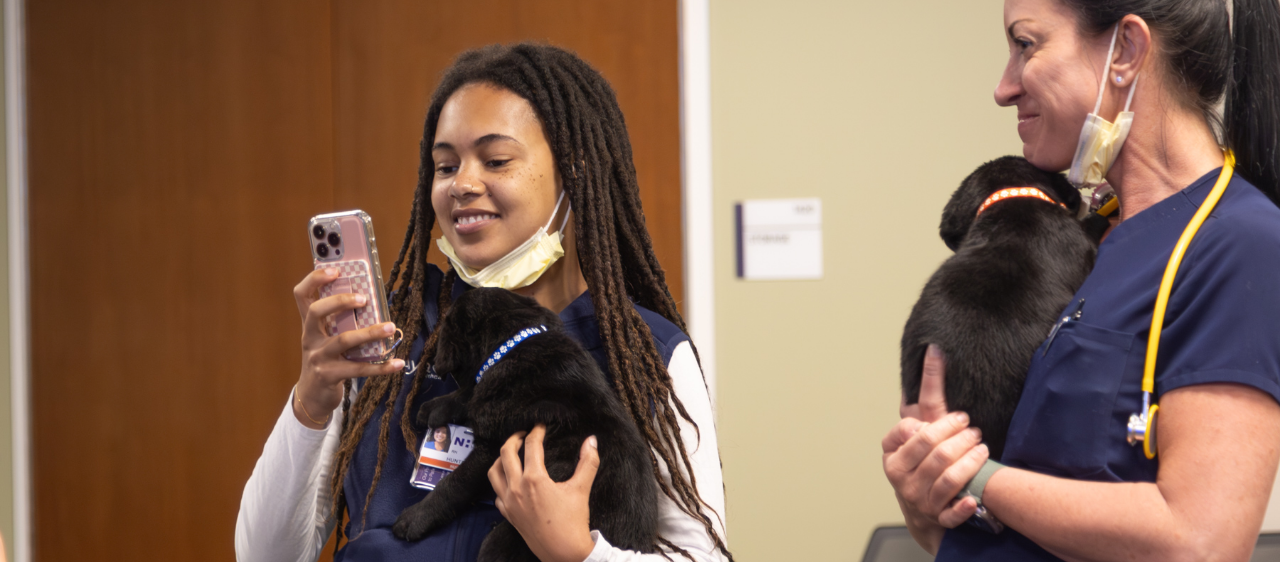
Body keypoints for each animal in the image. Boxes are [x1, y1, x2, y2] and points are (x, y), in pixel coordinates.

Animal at [389, 288, 655, 560]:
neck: (513, 343)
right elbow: (471, 393)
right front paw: (435, 407)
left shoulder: (491, 451)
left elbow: (453, 485)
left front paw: (415, 518)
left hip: (508, 540)